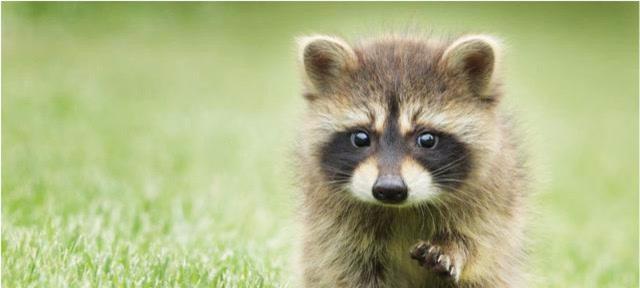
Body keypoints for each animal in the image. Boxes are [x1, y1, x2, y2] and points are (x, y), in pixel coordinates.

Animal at [292, 33, 528, 286]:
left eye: (427, 139)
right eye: (361, 138)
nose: (389, 189)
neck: (401, 209)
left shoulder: (492, 202)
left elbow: (480, 244)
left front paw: (452, 247)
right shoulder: (331, 227)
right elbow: (346, 268)